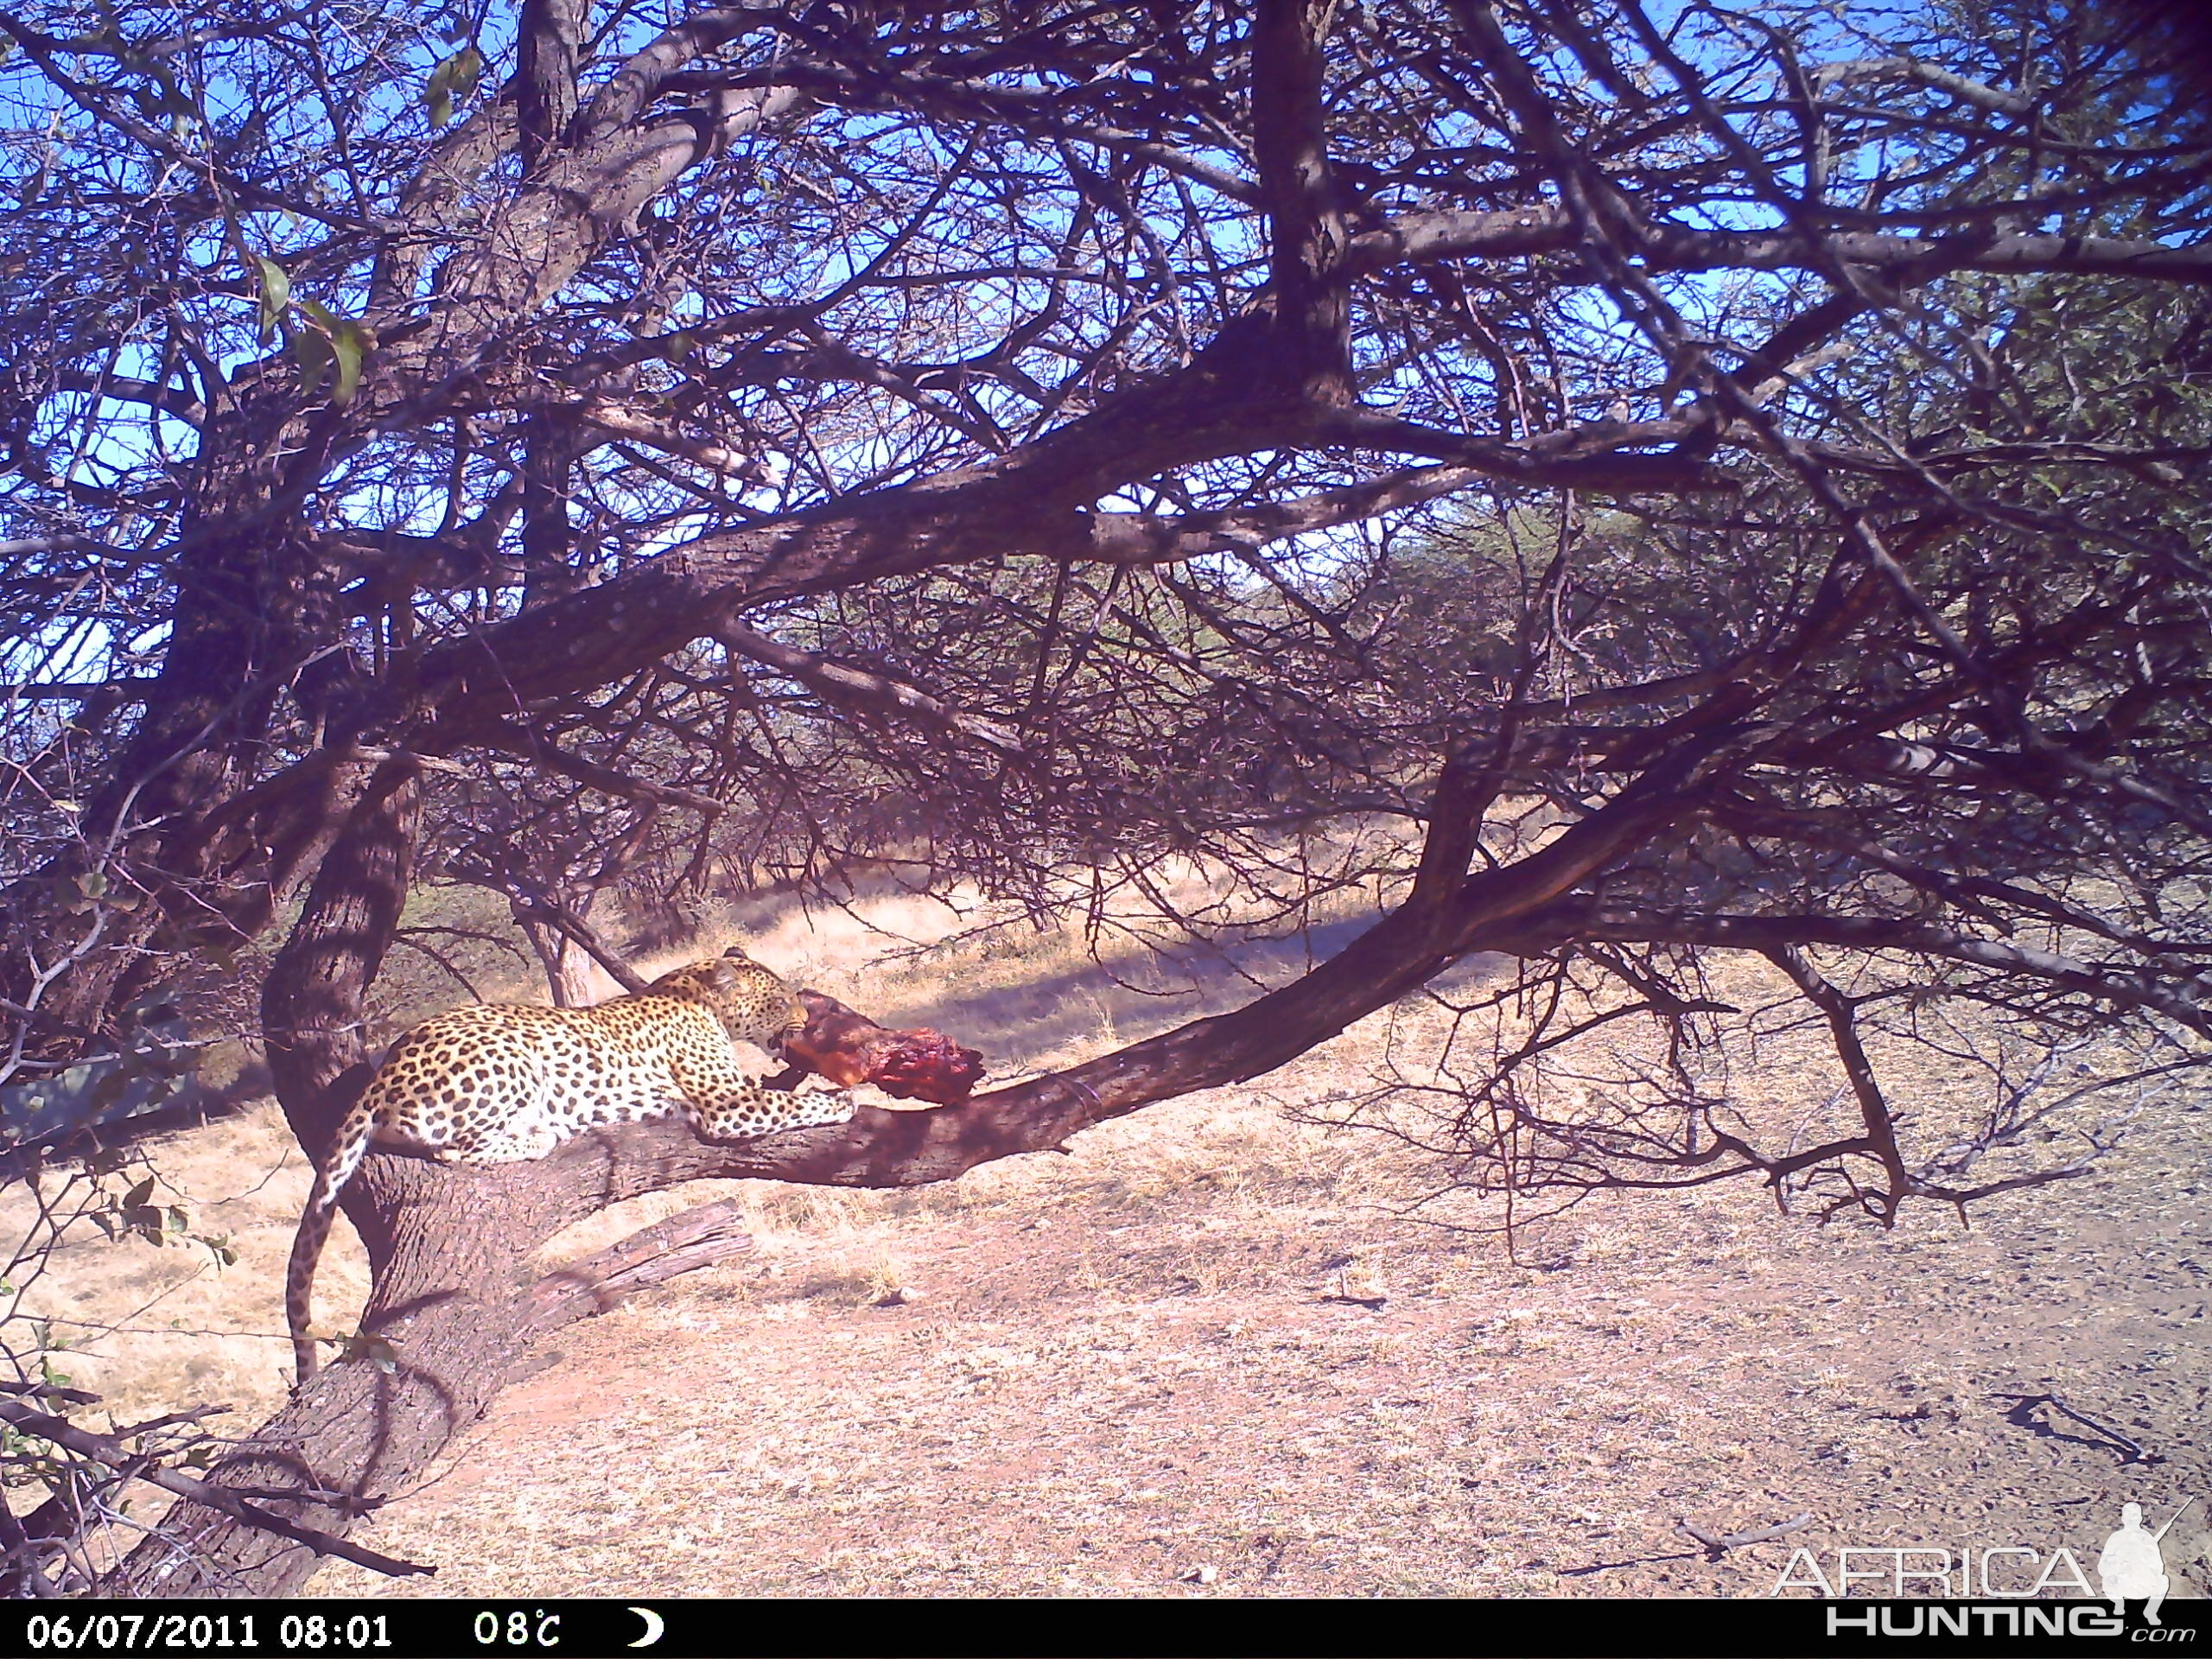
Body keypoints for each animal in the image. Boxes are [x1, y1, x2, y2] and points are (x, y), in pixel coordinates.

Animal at [283, 946, 844, 1389]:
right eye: (781, 999)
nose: (806, 1019)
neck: (696, 994)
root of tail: (381, 1074)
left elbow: (780, 1091)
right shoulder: (725, 1104)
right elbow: (788, 1104)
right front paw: (839, 1100)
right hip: (511, 1060)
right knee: (455, 1149)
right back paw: (542, 1134)